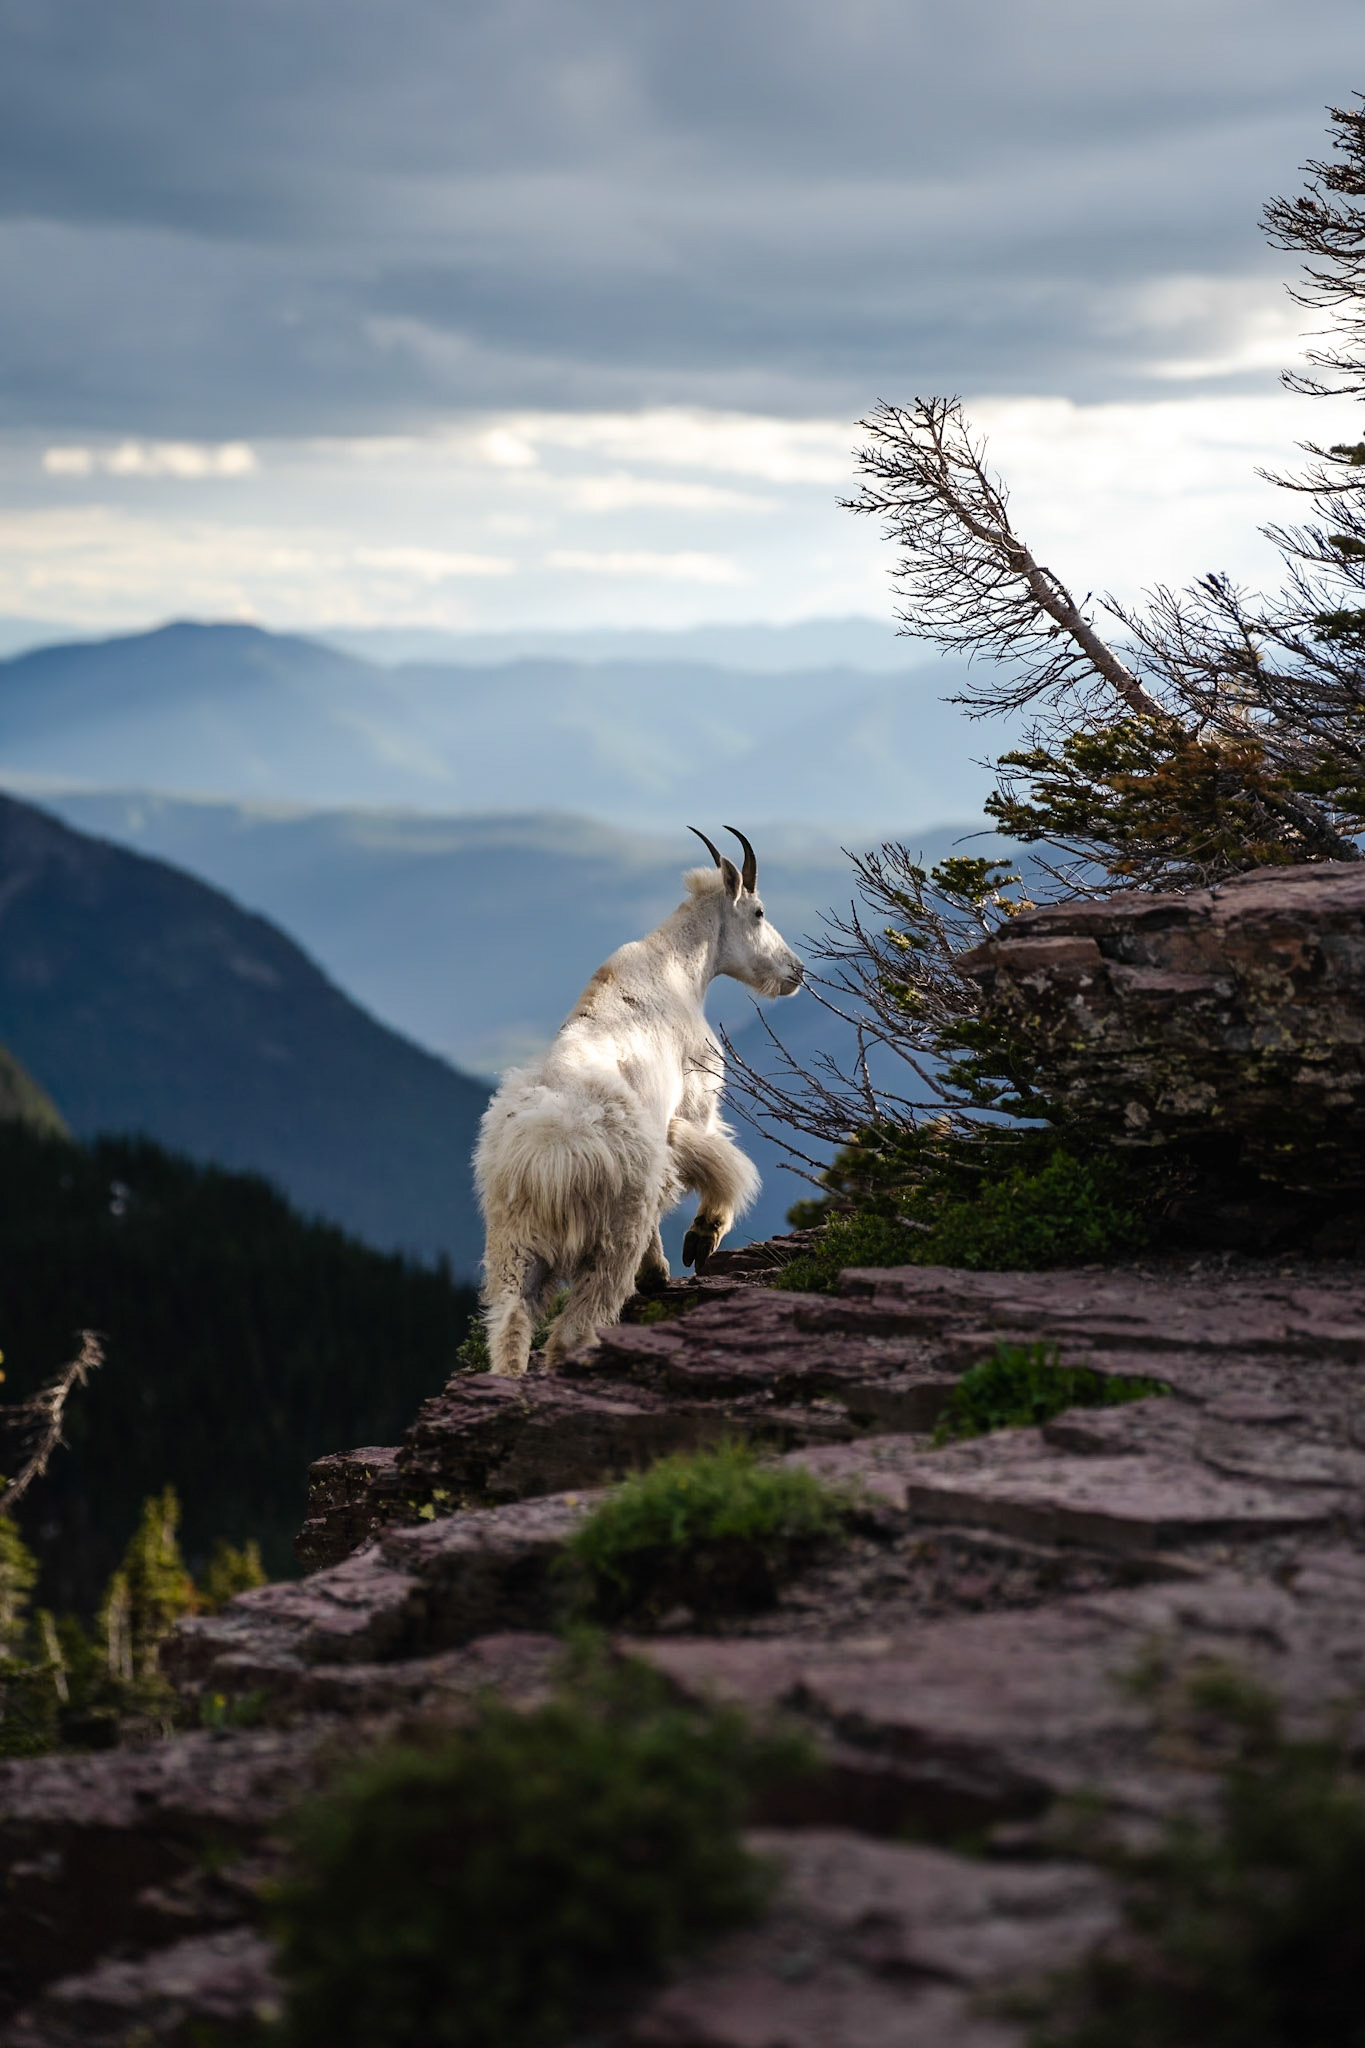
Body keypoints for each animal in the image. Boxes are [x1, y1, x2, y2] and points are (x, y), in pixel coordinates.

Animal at [474, 827, 803, 1376]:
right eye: (758, 911)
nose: (796, 972)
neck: (678, 971)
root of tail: (550, 1161)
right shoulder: (693, 1102)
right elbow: (712, 1157)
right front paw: (696, 1242)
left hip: (511, 1242)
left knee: (511, 1323)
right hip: (611, 1232)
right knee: (577, 1323)